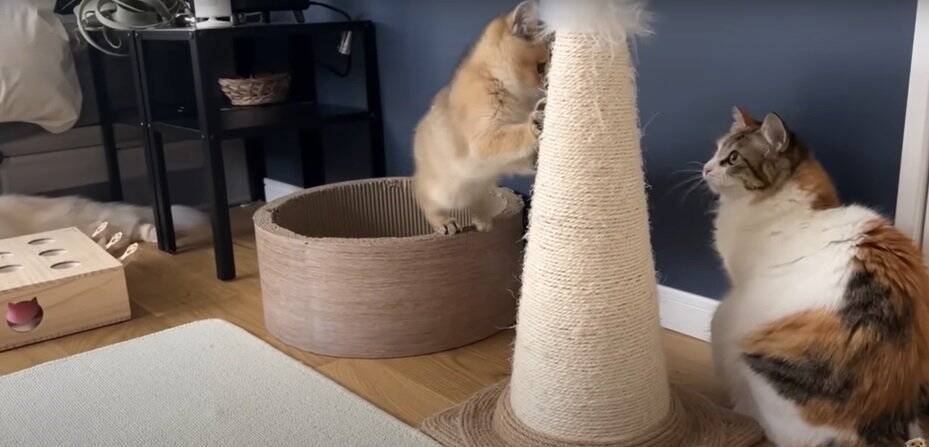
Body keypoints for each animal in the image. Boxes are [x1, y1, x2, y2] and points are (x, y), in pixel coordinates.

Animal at [413, 0, 549, 235]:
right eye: (541, 67)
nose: (549, 86)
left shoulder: (509, 158)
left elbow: (524, 155)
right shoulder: (483, 139)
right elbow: (515, 135)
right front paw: (537, 122)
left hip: (482, 186)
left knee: (475, 202)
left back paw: (483, 220)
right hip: (444, 191)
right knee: (420, 192)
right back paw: (444, 222)